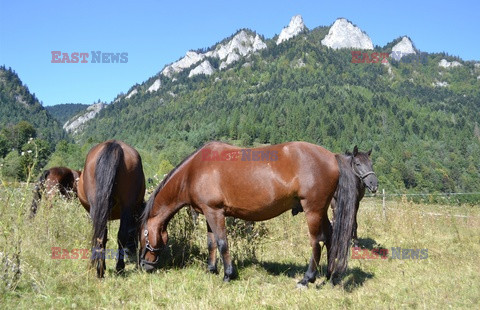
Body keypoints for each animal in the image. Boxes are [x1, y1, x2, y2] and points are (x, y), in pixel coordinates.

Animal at [78, 139, 145, 278]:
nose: (132, 251)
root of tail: (114, 144)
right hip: (124, 208)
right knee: (110, 235)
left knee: (105, 235)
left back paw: (108, 268)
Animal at [139, 142, 372, 286]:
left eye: (143, 235)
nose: (144, 265)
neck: (194, 171)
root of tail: (331, 157)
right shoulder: (208, 213)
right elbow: (211, 243)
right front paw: (211, 269)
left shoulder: (215, 212)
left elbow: (222, 243)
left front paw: (228, 275)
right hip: (322, 210)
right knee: (331, 237)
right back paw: (330, 275)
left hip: (313, 210)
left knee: (317, 241)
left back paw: (308, 279)